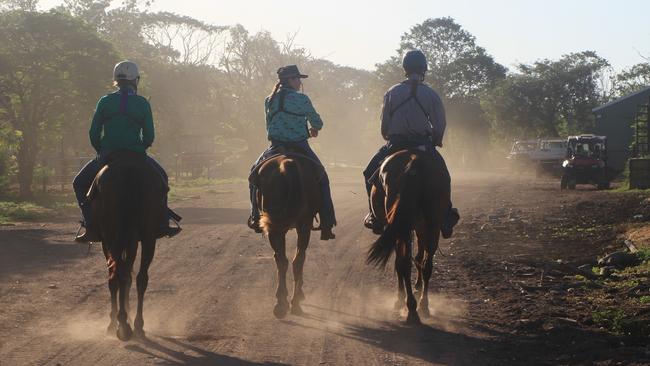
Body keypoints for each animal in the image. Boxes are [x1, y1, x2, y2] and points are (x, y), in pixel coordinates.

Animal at [87, 151, 165, 340]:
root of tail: (129, 170)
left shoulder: (107, 241)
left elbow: (116, 277)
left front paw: (115, 321)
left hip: (117, 236)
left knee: (121, 276)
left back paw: (124, 324)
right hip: (145, 235)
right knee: (137, 278)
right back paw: (134, 324)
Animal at [251, 152, 318, 318]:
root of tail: (287, 163)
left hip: (278, 228)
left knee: (283, 260)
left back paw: (283, 303)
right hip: (302, 225)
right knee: (296, 259)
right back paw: (292, 303)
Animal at [368, 149, 448, 324]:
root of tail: (413, 163)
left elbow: (403, 261)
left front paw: (400, 298)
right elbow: (416, 258)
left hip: (406, 228)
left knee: (405, 263)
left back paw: (412, 307)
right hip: (431, 224)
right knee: (425, 264)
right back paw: (422, 305)